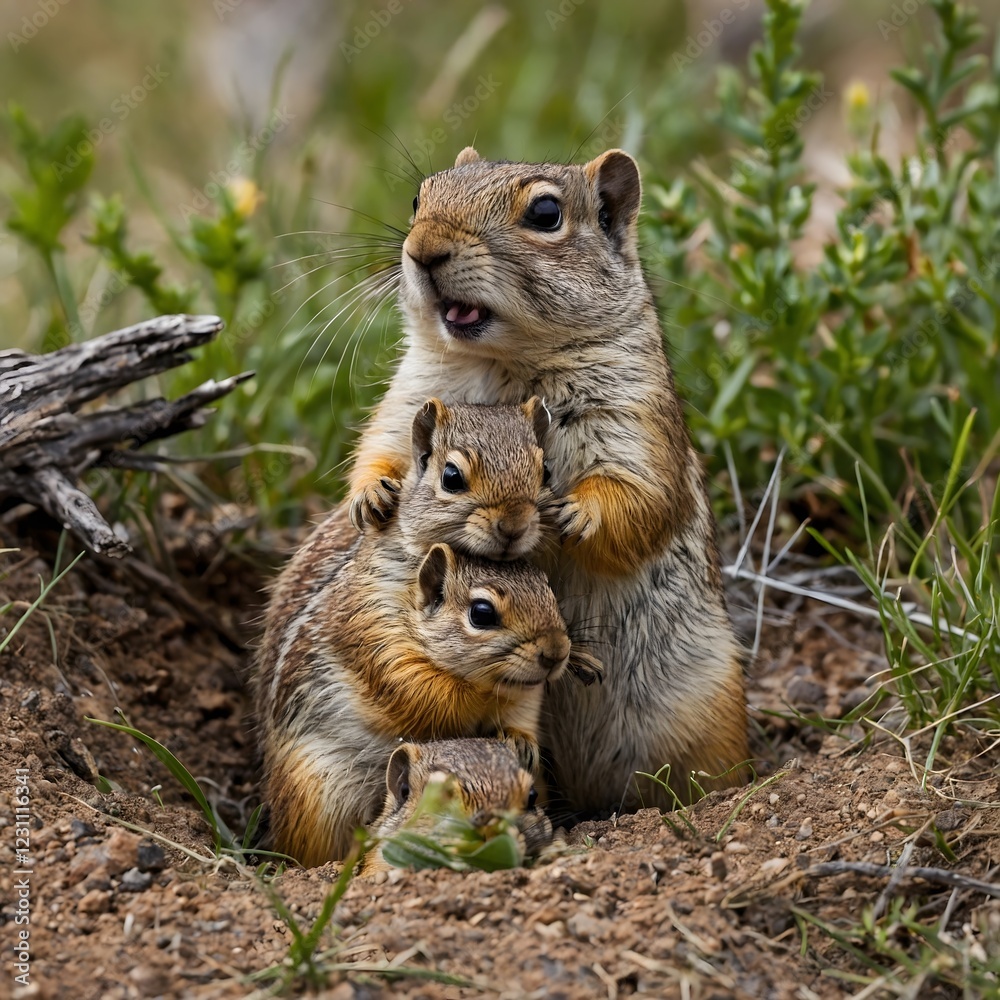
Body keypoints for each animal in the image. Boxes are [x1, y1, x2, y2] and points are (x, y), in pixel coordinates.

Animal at [346, 146, 750, 814]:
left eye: (544, 213)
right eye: (419, 197)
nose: (423, 249)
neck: (503, 360)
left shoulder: (634, 417)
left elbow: (639, 495)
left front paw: (577, 513)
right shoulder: (409, 398)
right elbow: (379, 449)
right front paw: (371, 495)